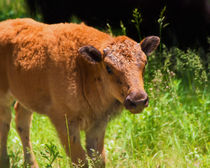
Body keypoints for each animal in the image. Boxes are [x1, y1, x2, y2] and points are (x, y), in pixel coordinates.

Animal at [0, 18, 158, 167]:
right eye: (108, 67)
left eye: (145, 63)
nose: (138, 100)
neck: (85, 68)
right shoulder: (65, 123)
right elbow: (80, 160)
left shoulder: (98, 124)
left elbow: (98, 158)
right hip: (4, 98)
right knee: (5, 123)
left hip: (26, 97)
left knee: (22, 121)